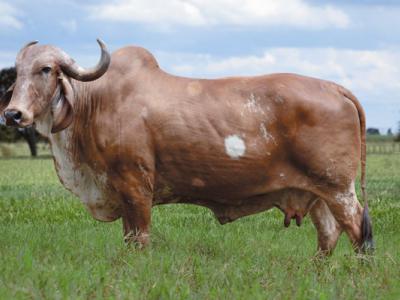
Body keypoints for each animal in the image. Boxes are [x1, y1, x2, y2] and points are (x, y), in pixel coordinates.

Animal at [0, 39, 376, 255]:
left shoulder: (135, 188)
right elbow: (128, 239)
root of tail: (334, 87)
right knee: (328, 236)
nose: (13, 114)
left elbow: (139, 240)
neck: (95, 102)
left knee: (358, 231)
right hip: (317, 194)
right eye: (17, 71)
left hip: (338, 189)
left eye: (46, 69)